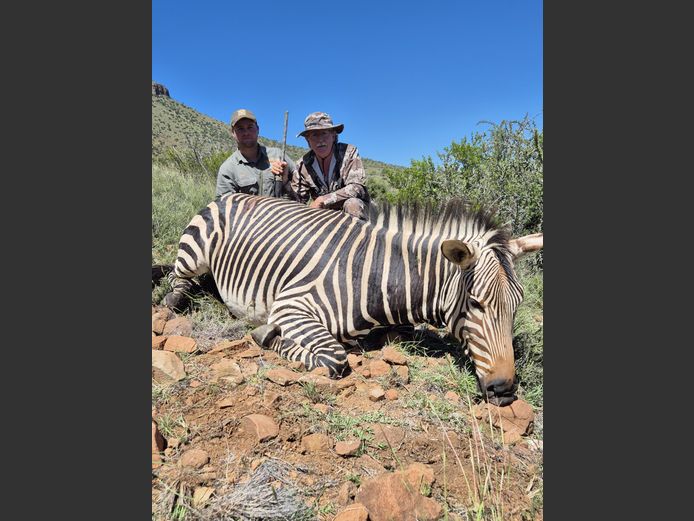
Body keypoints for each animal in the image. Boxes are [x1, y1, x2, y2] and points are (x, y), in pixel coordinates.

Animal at [160, 193, 543, 406]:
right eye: (476, 303)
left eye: (516, 306)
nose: (505, 391)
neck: (376, 275)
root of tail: (233, 194)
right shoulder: (292, 305)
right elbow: (334, 357)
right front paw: (266, 336)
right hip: (195, 252)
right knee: (178, 281)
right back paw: (175, 300)